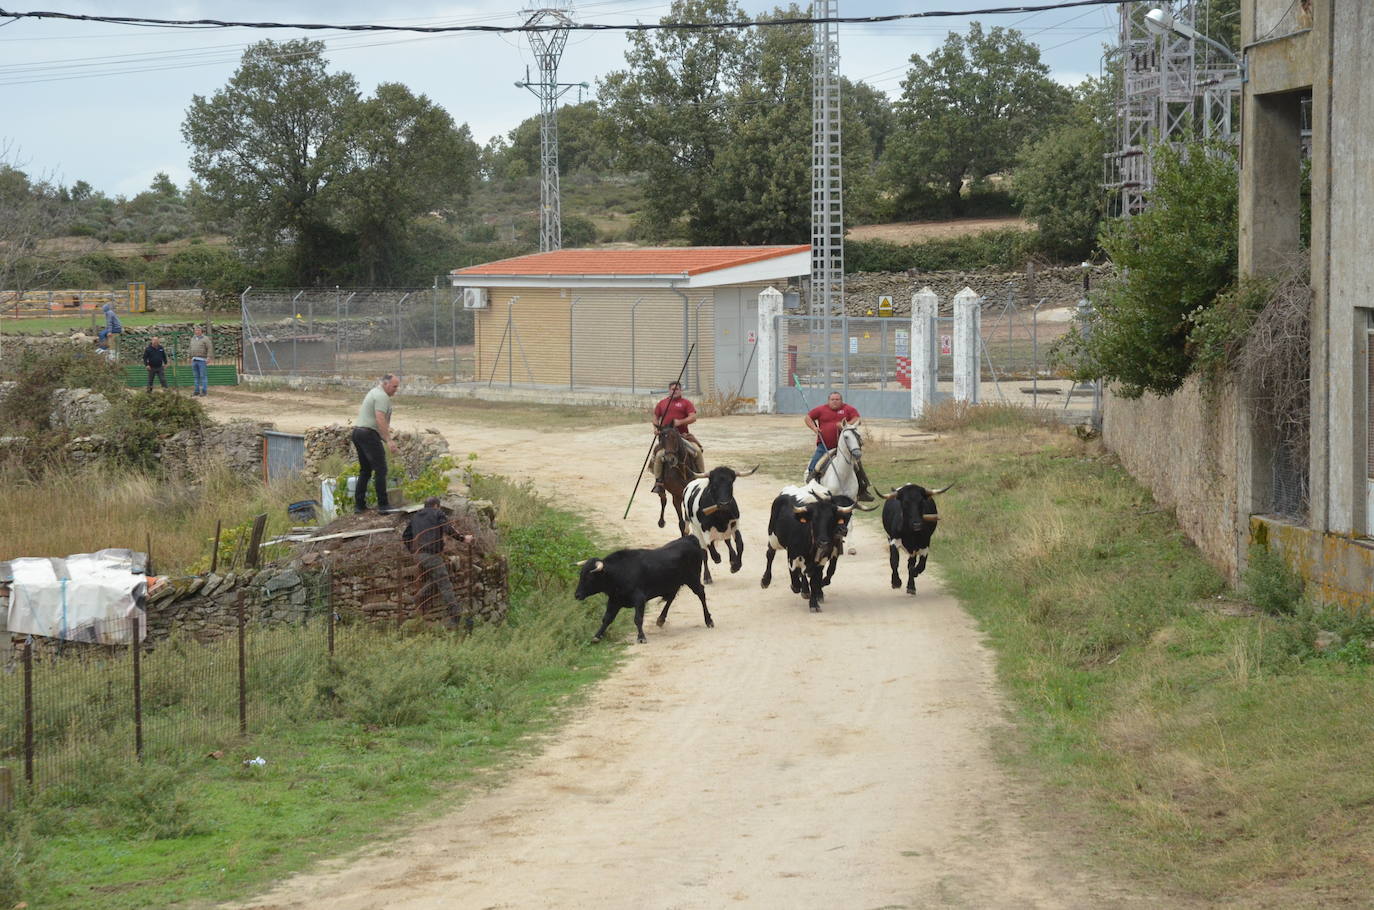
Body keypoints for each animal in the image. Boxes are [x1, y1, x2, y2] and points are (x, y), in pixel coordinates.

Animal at [574, 538, 714, 646]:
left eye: (590, 577)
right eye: (581, 575)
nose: (577, 595)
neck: (619, 572)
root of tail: (690, 539)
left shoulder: (639, 598)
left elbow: (638, 618)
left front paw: (641, 637)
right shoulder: (614, 600)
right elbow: (607, 618)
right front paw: (597, 636)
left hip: (692, 579)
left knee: (701, 593)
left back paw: (708, 620)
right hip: (673, 583)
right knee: (672, 597)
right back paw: (660, 619)